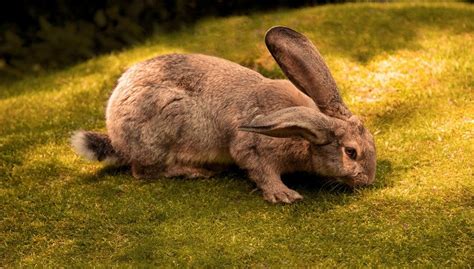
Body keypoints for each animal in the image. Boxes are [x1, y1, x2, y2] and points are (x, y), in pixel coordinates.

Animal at [70, 26, 376, 203]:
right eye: (351, 152)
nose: (368, 180)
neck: (303, 132)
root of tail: (117, 137)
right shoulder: (252, 148)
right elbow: (261, 171)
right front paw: (284, 195)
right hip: (163, 126)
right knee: (144, 172)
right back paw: (195, 171)